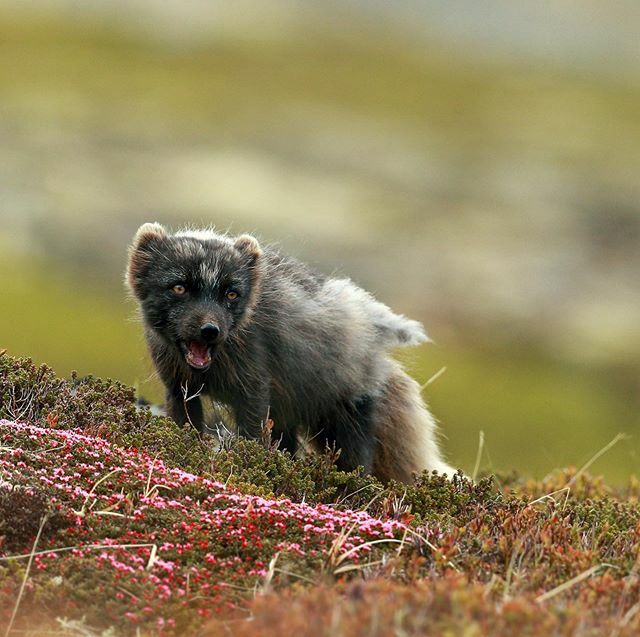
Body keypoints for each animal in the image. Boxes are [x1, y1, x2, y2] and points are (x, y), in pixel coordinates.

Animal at [126, 223, 454, 482]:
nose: (210, 330)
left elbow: (251, 437)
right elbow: (186, 427)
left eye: (231, 294)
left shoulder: (254, 389)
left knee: (355, 466)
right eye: (179, 287)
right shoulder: (179, 389)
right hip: (288, 416)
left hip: (343, 423)